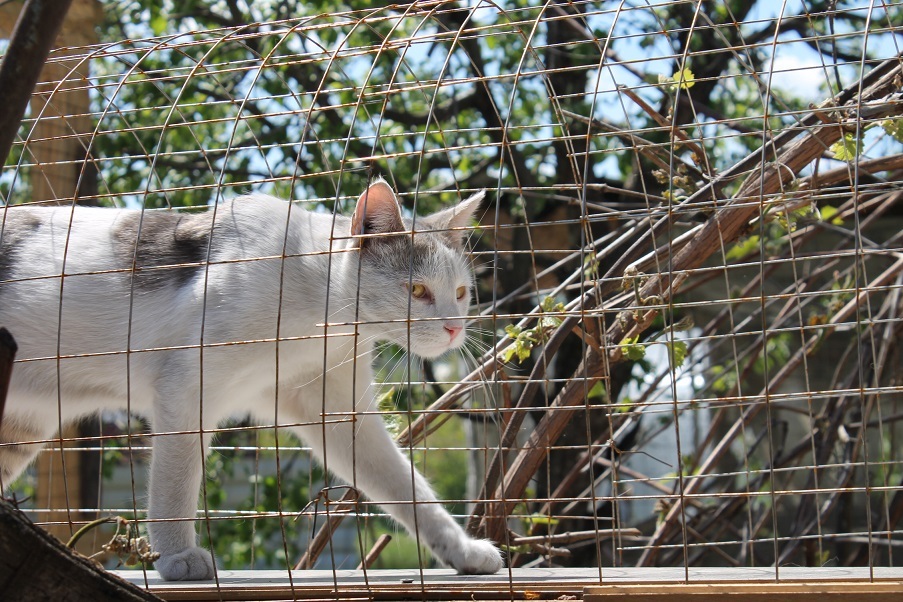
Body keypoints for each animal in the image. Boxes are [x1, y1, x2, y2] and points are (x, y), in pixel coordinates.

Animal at [0, 178, 504, 576]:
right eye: (417, 290)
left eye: (462, 292)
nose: (455, 326)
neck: (315, 317)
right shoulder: (187, 387)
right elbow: (177, 478)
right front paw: (177, 555)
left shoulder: (340, 414)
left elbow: (405, 484)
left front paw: (463, 550)